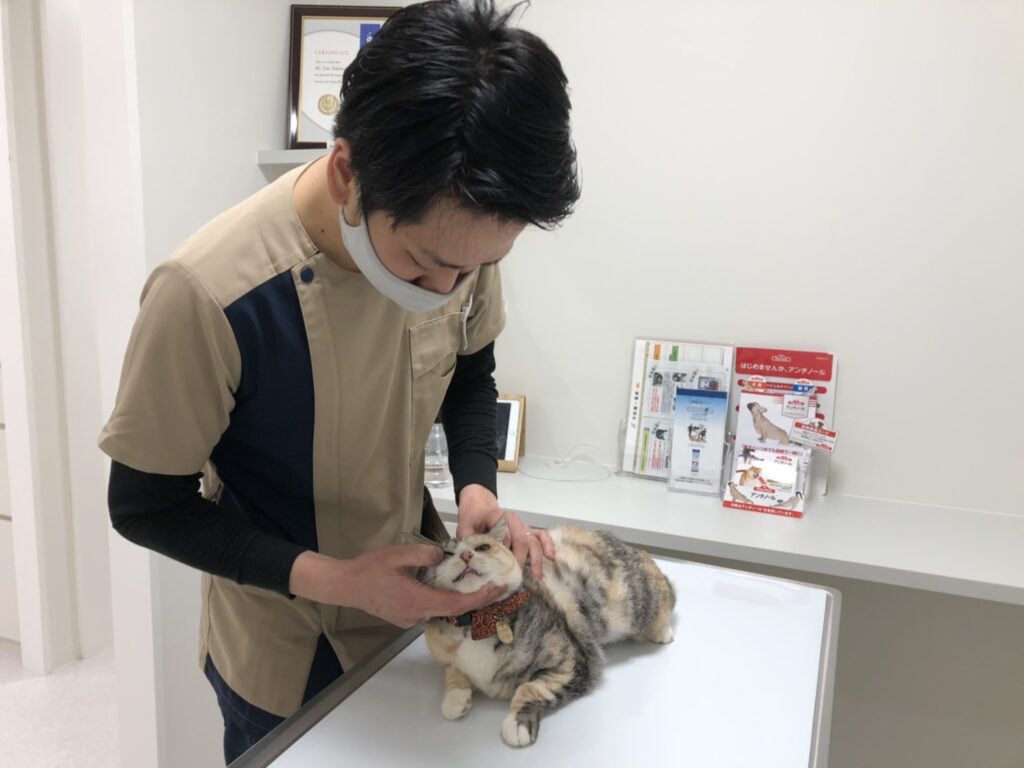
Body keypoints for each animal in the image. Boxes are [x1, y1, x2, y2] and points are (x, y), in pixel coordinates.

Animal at [421, 516, 675, 748]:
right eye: (446, 554)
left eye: (483, 547)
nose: (466, 555)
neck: (475, 621)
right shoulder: (448, 657)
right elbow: (453, 674)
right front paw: (456, 701)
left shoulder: (572, 659)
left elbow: (530, 688)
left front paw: (516, 724)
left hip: (640, 604)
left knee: (668, 595)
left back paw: (664, 632)